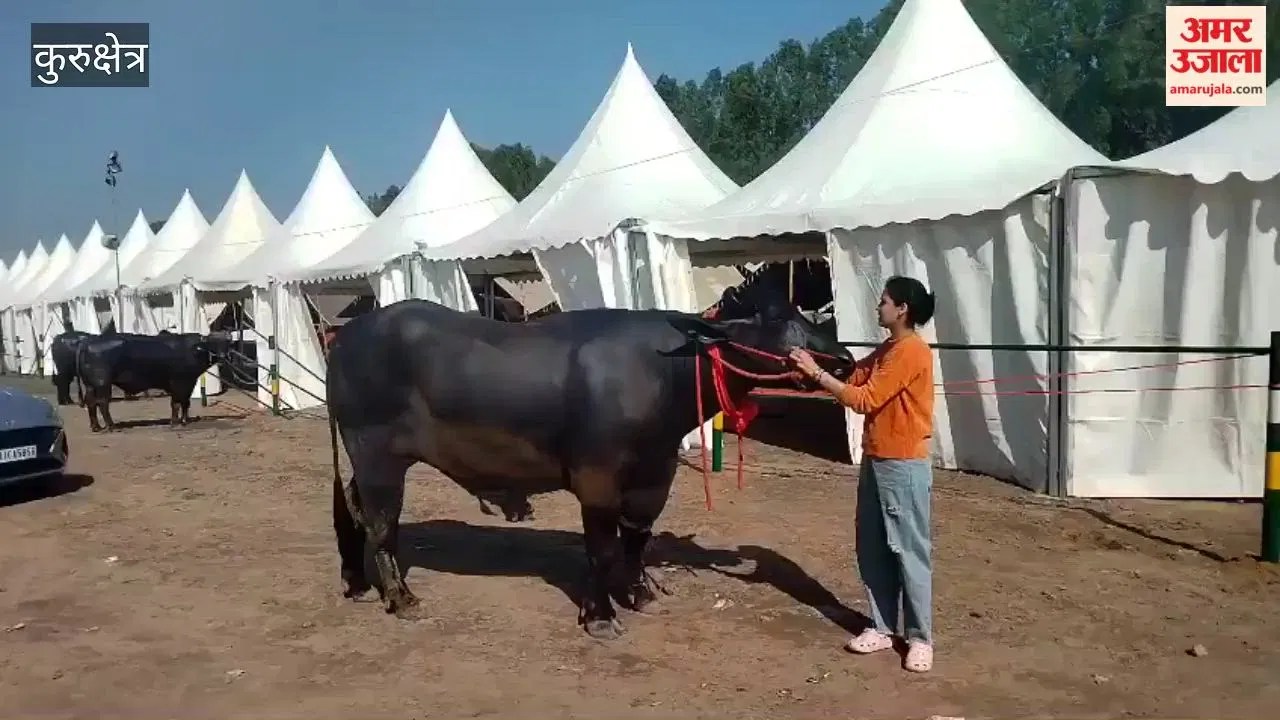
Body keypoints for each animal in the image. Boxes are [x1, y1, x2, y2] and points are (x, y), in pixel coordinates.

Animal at [75, 331, 232, 432]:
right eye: (213, 343)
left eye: (227, 343)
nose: (223, 357)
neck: (194, 350)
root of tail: (88, 342)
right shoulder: (179, 383)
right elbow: (176, 403)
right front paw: (175, 422)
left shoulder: (189, 383)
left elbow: (185, 402)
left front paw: (185, 420)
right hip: (102, 384)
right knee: (102, 403)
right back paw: (111, 426)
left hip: (90, 386)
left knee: (91, 403)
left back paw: (96, 427)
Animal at [326, 292, 853, 640]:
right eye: (775, 320)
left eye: (803, 312)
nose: (844, 358)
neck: (662, 371)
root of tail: (347, 337)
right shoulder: (597, 477)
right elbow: (601, 549)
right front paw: (600, 616)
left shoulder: (655, 473)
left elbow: (636, 539)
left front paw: (641, 595)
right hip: (376, 456)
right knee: (381, 521)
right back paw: (401, 598)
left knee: (349, 510)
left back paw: (356, 583)